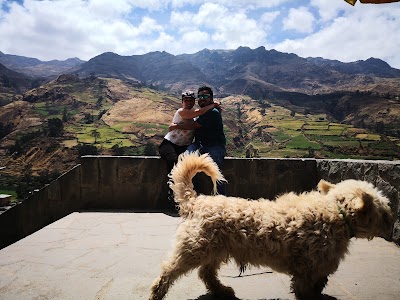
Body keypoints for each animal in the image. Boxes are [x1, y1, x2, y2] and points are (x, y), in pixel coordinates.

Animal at [148, 152, 392, 300]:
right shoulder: (306, 270)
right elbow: (306, 292)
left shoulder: (317, 270)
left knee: (206, 273)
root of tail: (197, 201)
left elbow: (318, 286)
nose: (392, 221)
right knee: (169, 271)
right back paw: (157, 293)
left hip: (215, 249)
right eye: (383, 211)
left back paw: (222, 290)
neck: (334, 213)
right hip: (194, 248)